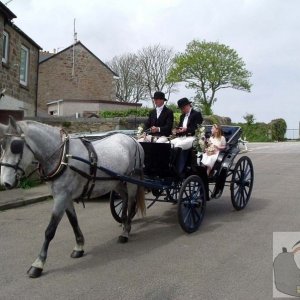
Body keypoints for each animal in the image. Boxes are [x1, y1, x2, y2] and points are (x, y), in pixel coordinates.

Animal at [0, 117, 145, 278]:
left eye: (16, 146)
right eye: (2, 145)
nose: (4, 183)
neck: (63, 156)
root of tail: (133, 140)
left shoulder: (61, 198)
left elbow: (50, 230)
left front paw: (38, 263)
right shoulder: (66, 197)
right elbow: (73, 222)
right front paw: (79, 247)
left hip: (132, 180)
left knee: (131, 201)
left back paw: (126, 232)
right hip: (116, 182)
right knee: (124, 198)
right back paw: (125, 223)